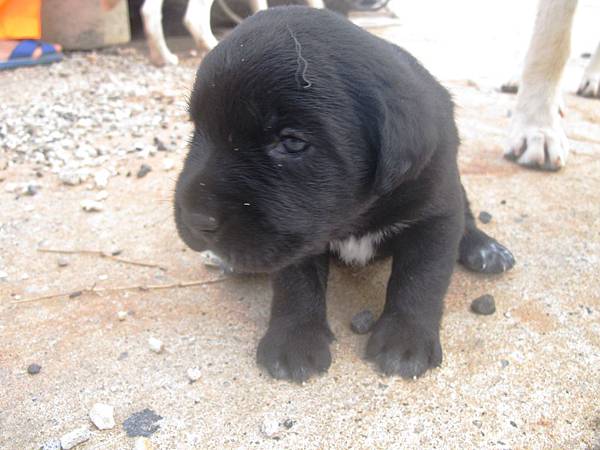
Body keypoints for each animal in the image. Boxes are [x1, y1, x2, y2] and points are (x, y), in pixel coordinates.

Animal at [175, 5, 516, 382]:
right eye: (196, 130)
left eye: (292, 142)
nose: (195, 219)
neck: (356, 215)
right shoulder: (299, 235)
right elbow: (297, 282)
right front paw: (294, 339)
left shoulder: (436, 215)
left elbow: (420, 278)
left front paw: (405, 339)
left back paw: (484, 247)